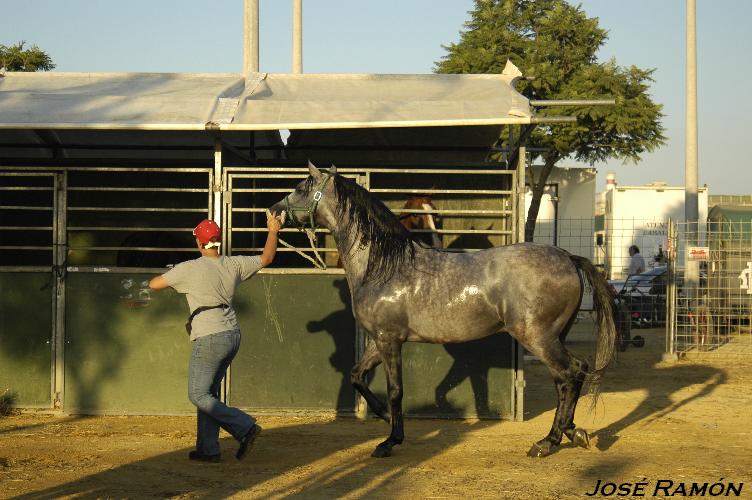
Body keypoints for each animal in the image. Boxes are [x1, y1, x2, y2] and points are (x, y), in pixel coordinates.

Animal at [270, 162, 616, 458]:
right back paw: (573, 432)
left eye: (300, 187)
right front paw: (383, 417)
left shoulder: (389, 340)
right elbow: (357, 375)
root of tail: (567, 257)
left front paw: (390, 441)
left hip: (537, 337)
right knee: (570, 376)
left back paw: (547, 442)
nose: (273, 211)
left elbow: (395, 390)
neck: (382, 266)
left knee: (570, 374)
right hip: (555, 335)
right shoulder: (377, 341)